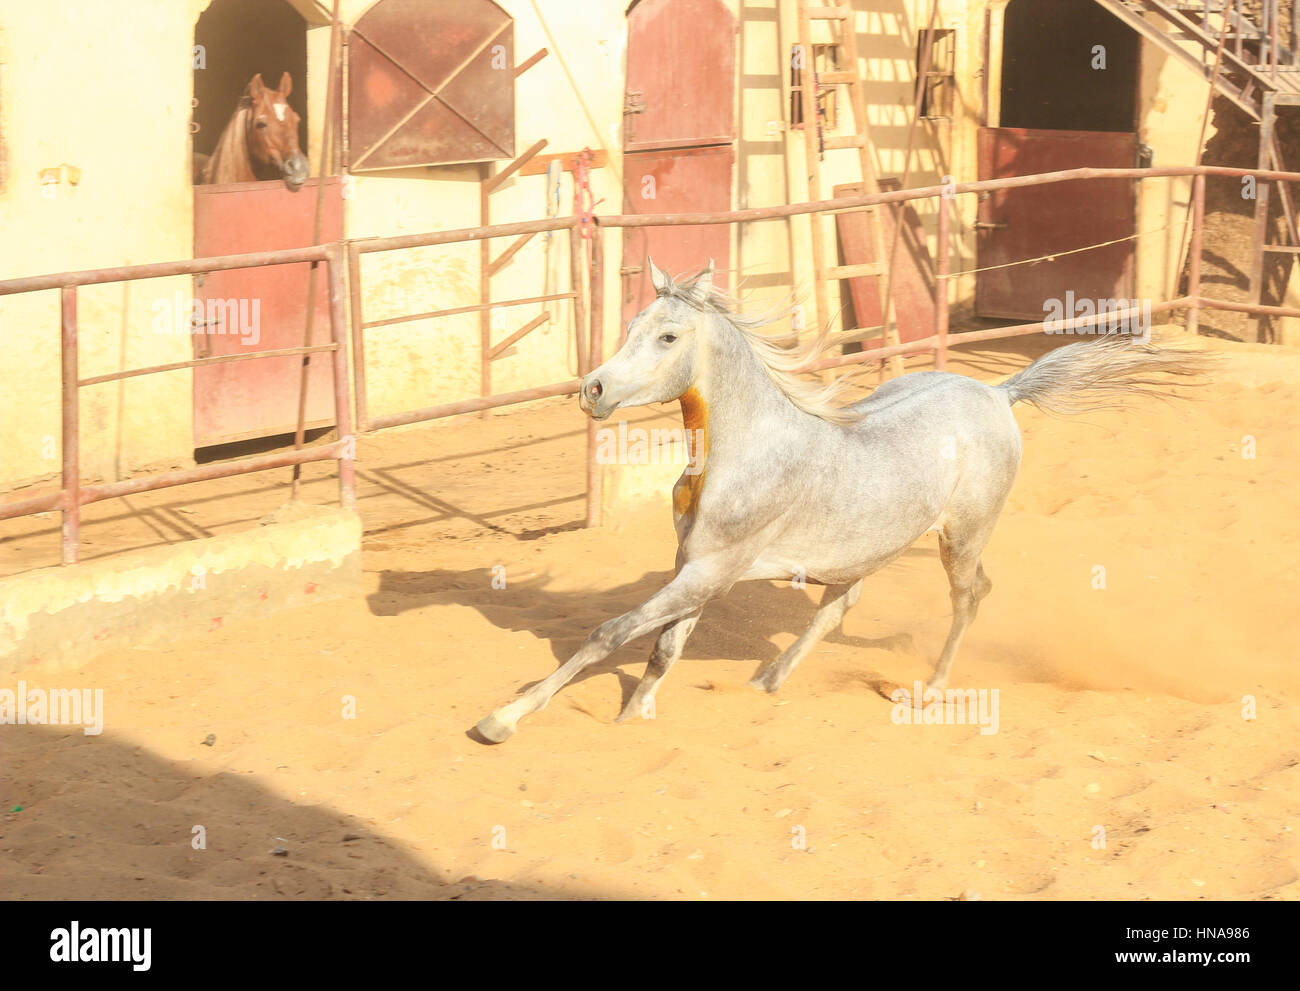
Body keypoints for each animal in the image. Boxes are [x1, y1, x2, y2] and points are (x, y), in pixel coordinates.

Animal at [475, 260, 1212, 743]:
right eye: (632, 323)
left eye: (668, 336)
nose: (592, 390)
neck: (745, 448)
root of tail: (1000, 393)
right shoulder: (695, 570)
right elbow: (661, 650)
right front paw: (628, 721)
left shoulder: (710, 572)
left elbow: (611, 633)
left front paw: (499, 720)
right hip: (870, 549)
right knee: (840, 606)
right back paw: (765, 682)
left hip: (963, 535)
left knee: (970, 595)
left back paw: (933, 689)